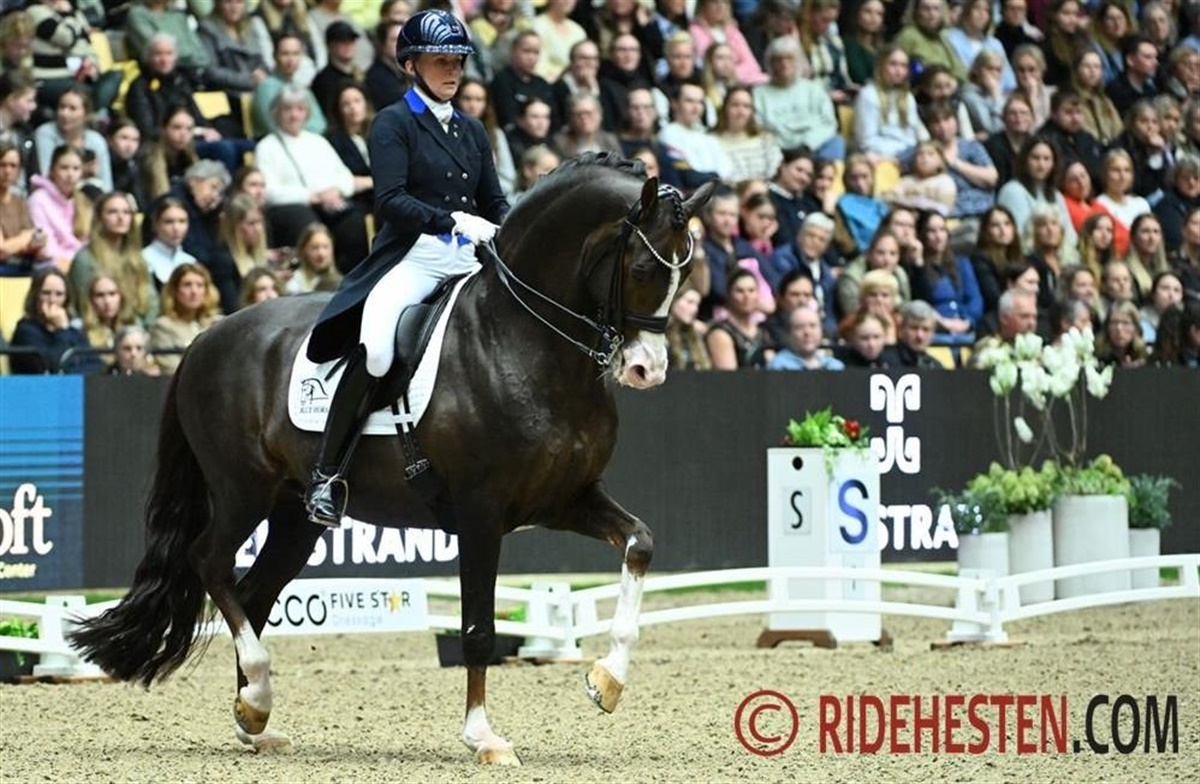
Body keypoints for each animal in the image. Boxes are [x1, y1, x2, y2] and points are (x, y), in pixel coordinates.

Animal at [68, 153, 715, 765]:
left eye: (683, 276)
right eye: (642, 270)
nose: (647, 370)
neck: (524, 343)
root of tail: (208, 336)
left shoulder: (565, 499)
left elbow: (640, 543)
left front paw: (607, 681)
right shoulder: (480, 513)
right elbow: (478, 629)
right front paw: (484, 737)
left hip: (296, 514)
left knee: (251, 593)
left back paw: (253, 719)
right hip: (240, 489)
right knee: (208, 562)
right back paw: (256, 694)